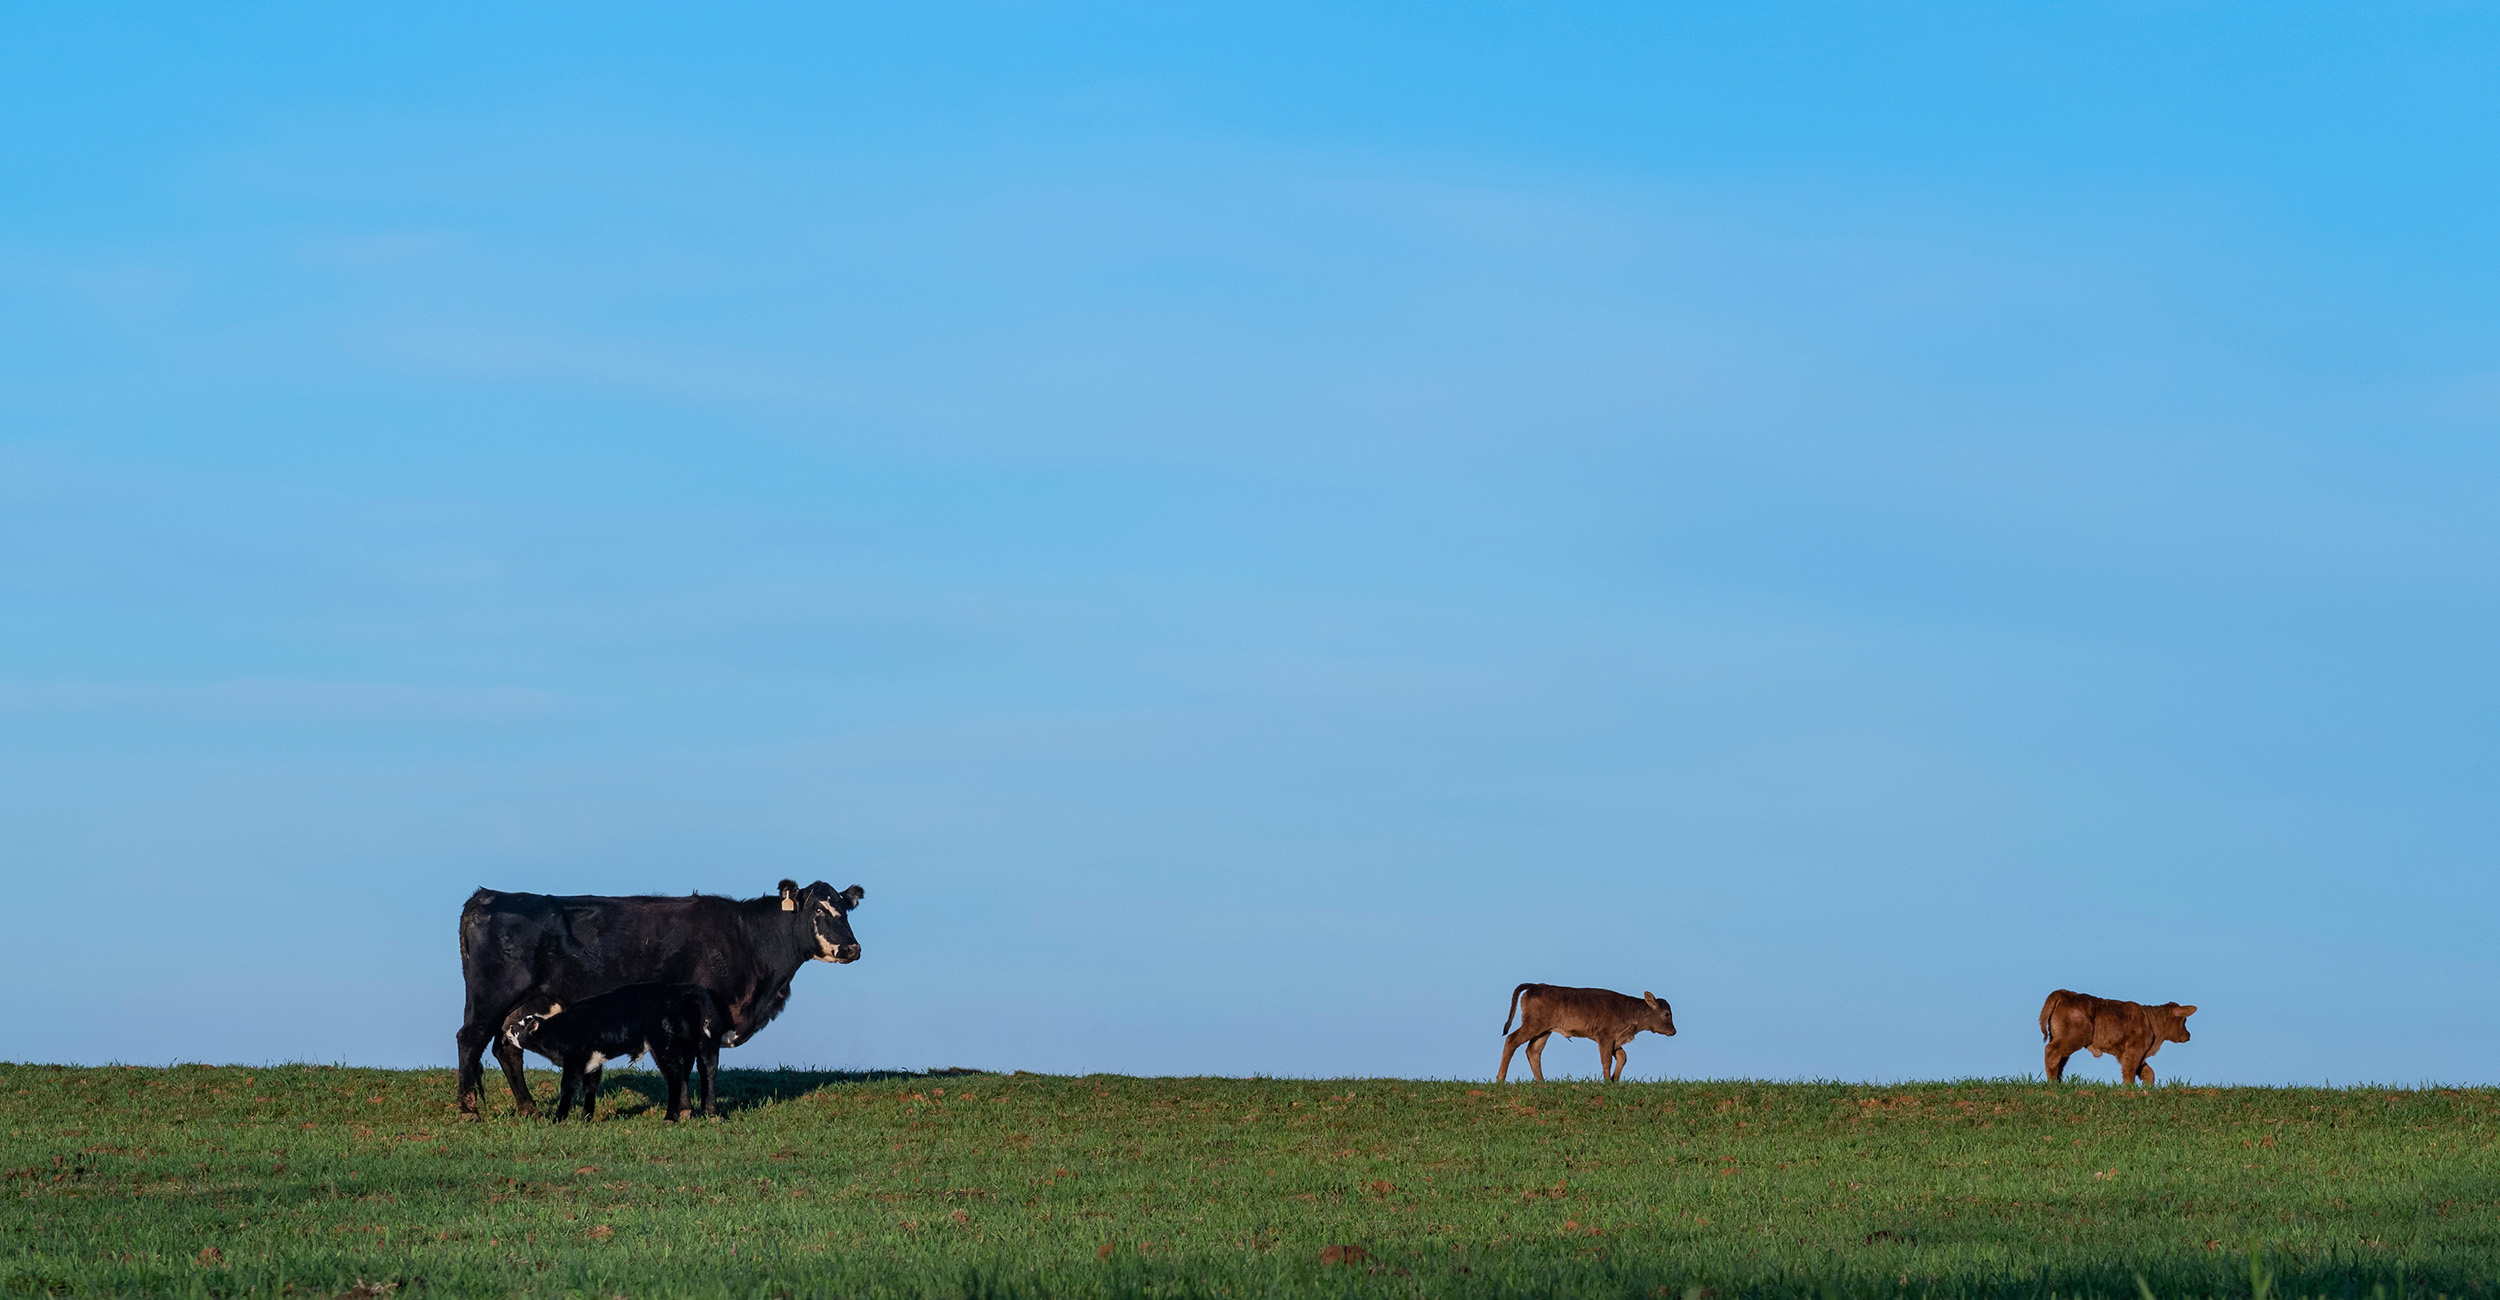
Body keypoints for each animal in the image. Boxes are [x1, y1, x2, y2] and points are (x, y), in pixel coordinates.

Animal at [502, 983, 727, 1122]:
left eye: (520, 1027)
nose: (507, 1029)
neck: (559, 1030)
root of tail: (671, 990)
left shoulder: (574, 1060)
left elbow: (568, 1087)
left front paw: (558, 1118)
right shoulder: (592, 1062)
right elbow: (590, 1087)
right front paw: (586, 1117)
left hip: (663, 1044)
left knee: (675, 1076)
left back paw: (670, 1117)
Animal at [1497, 983, 1676, 1083]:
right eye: (1666, 1014)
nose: (1673, 1031)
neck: (1630, 1011)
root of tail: (1534, 986)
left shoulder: (1615, 1040)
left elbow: (1622, 1057)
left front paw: (1615, 1079)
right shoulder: (1605, 1037)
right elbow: (1606, 1060)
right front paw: (1607, 1081)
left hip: (1544, 1031)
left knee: (1533, 1050)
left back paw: (1542, 1082)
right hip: (1533, 1025)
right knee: (1512, 1040)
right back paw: (1500, 1079)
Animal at [2040, 988, 2196, 1085]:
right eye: (2184, 1020)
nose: (2188, 1035)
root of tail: (2066, 993)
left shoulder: (2129, 1054)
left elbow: (2147, 1072)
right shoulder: (2134, 1050)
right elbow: (2130, 1070)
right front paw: (2129, 1088)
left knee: (2060, 1060)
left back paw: (2059, 1082)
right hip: (2073, 1038)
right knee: (2052, 1052)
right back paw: (2053, 1083)